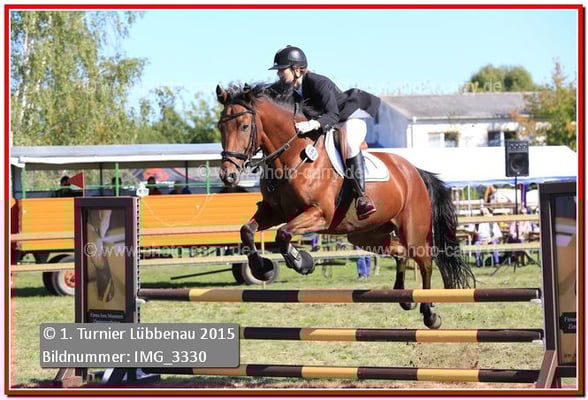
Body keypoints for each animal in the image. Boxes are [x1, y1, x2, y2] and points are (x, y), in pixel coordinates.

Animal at [215, 83, 475, 329]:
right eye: (220, 127)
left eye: (244, 126)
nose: (228, 175)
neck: (293, 157)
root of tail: (414, 171)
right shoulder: (273, 212)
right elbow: (247, 231)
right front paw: (263, 268)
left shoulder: (319, 214)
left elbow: (283, 234)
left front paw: (302, 262)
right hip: (367, 235)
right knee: (400, 252)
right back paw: (404, 296)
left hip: (413, 231)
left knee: (425, 262)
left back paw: (430, 313)